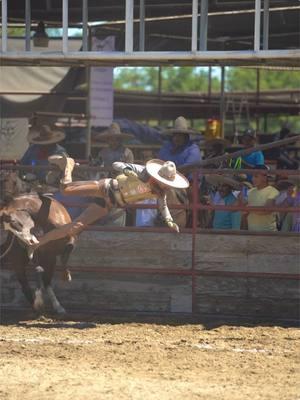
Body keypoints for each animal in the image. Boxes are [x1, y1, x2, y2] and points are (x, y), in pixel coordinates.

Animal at [0, 170, 75, 314]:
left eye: (11, 220)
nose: (30, 240)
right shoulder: (41, 254)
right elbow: (40, 273)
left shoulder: (68, 240)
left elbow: (67, 250)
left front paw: (66, 275)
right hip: (19, 260)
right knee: (27, 284)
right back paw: (38, 305)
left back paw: (54, 306)